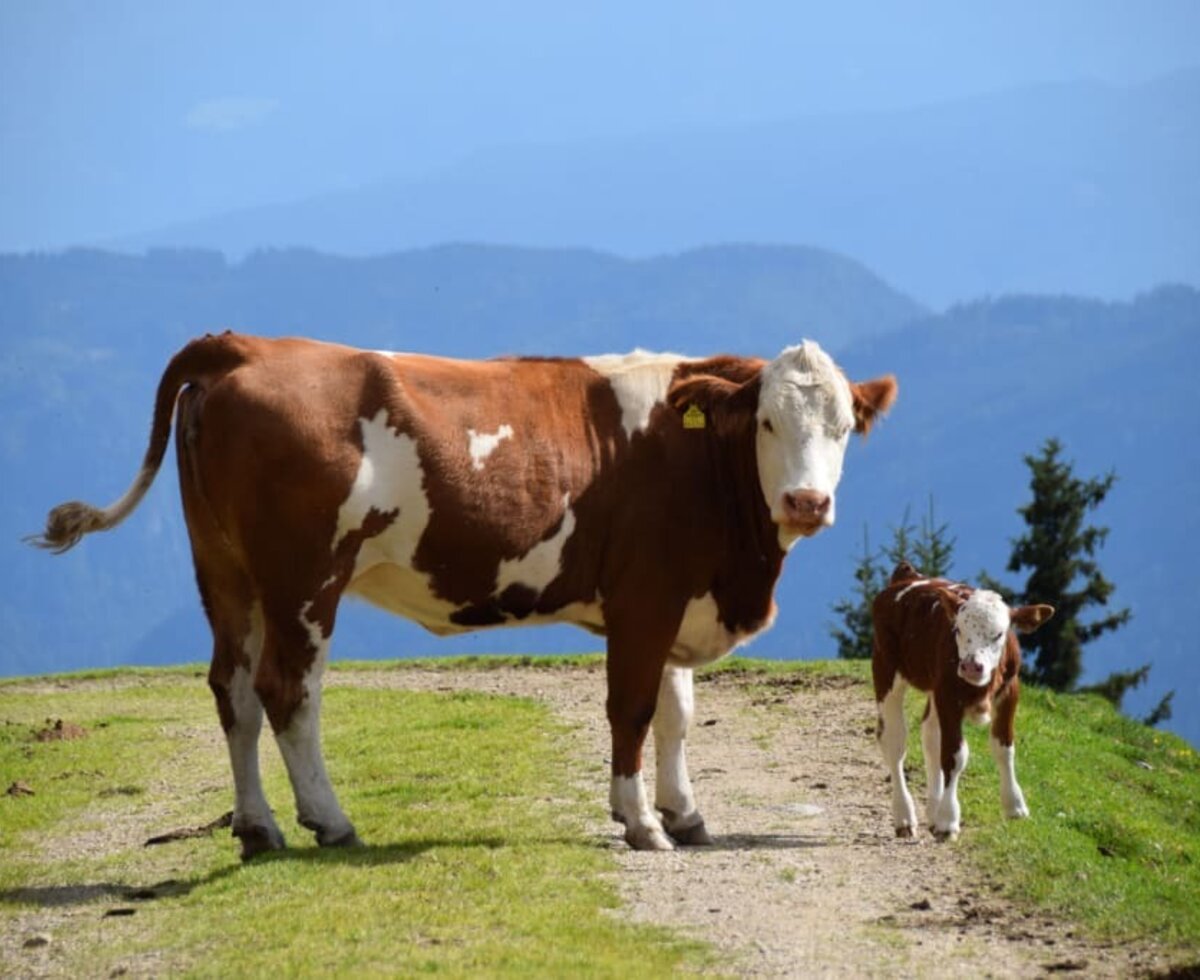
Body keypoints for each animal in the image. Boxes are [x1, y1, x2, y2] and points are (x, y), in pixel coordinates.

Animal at [28, 333, 897, 854]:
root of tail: (246, 346)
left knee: (232, 690)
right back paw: (329, 820)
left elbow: (677, 713)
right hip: (303, 578)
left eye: (842, 428)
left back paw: (259, 826)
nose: (807, 503)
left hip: (224, 573)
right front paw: (641, 820)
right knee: (287, 692)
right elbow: (632, 710)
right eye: (768, 424)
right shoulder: (643, 596)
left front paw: (685, 813)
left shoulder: (679, 591)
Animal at [868, 561, 1056, 839]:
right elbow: (954, 756)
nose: (970, 666)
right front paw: (948, 820)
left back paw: (932, 810)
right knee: (894, 741)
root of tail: (908, 575)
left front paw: (1014, 805)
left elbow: (1004, 747)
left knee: (930, 735)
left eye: (999, 634)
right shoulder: (948, 696)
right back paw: (904, 816)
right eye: (958, 629)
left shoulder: (1010, 691)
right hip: (886, 668)